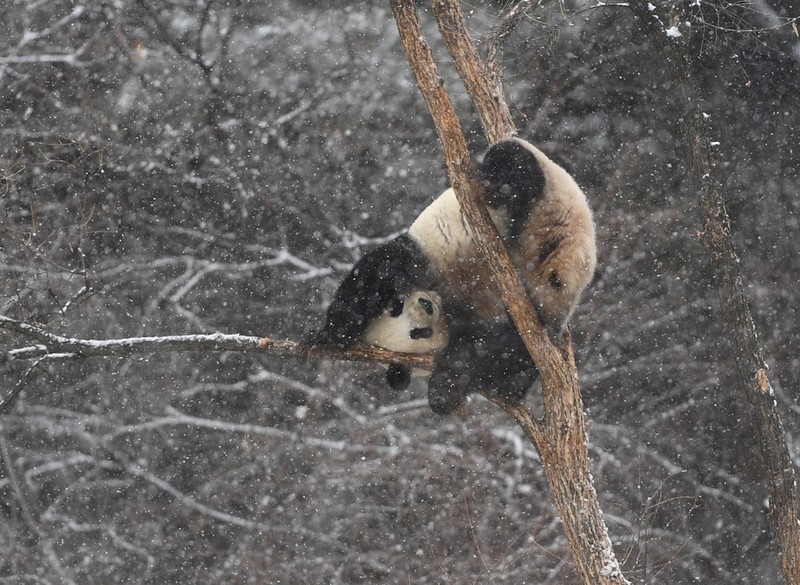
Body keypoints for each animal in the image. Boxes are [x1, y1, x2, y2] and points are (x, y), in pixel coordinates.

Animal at [310, 136, 596, 416]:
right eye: (418, 333)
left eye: (397, 306)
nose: (425, 305)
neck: (444, 298)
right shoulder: (473, 321)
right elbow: (489, 351)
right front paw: (445, 391)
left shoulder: (420, 260)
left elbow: (375, 275)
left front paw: (328, 335)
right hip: (544, 304)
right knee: (524, 346)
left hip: (548, 190)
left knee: (515, 166)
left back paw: (490, 187)